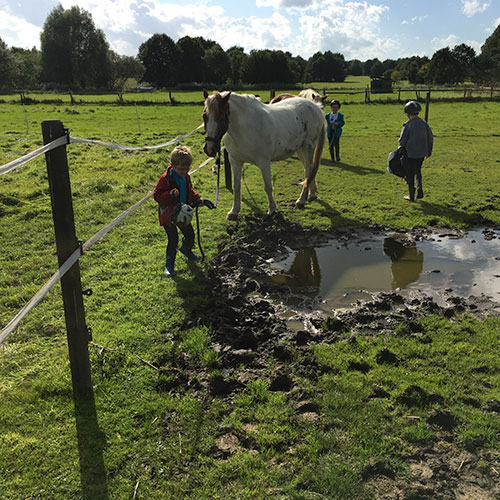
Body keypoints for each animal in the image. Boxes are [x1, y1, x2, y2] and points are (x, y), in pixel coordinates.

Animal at [201, 91, 326, 220]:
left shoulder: (264, 162)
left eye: (221, 117)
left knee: (308, 171)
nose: (209, 149)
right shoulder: (235, 161)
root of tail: (315, 107)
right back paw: (312, 194)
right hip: (300, 149)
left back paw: (301, 201)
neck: (244, 128)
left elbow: (268, 186)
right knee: (309, 169)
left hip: (308, 147)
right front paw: (234, 212)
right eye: (204, 116)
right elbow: (236, 186)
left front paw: (272, 209)